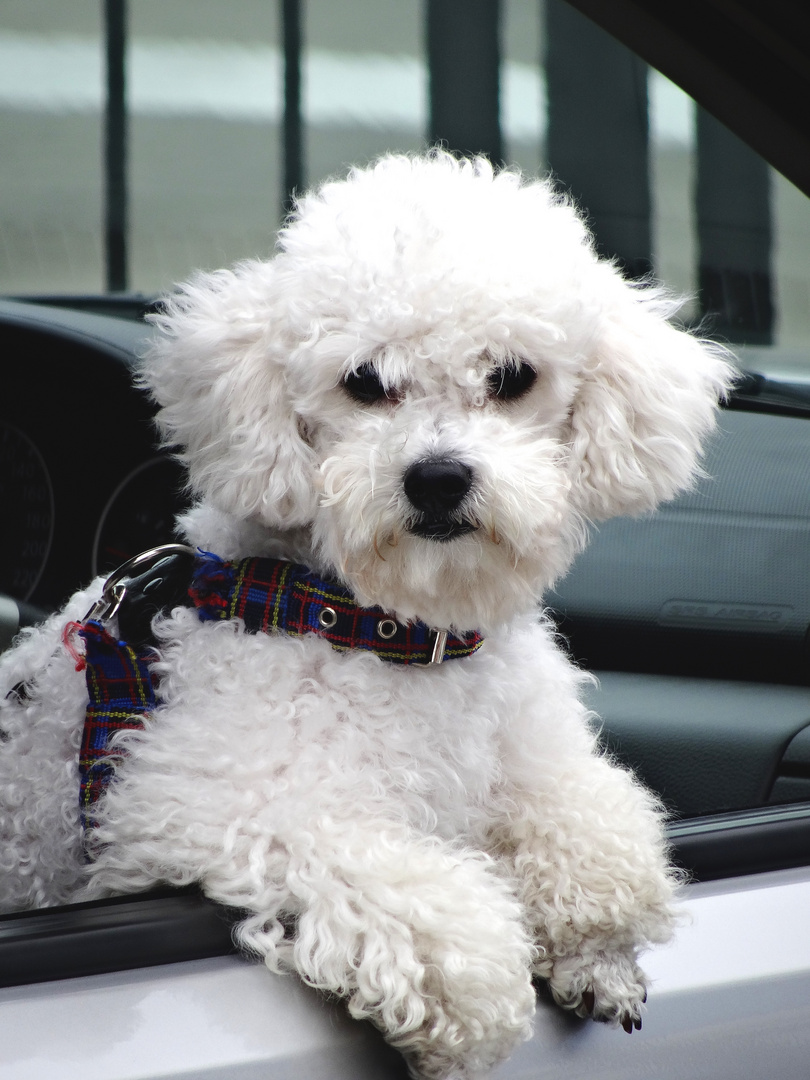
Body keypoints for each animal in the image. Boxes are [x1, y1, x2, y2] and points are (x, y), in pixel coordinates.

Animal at [1, 154, 734, 1080]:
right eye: (363, 381)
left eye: (512, 376)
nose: (437, 478)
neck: (389, 628)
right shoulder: (227, 806)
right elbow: (423, 905)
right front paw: (477, 1008)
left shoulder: (529, 760)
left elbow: (589, 830)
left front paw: (596, 950)